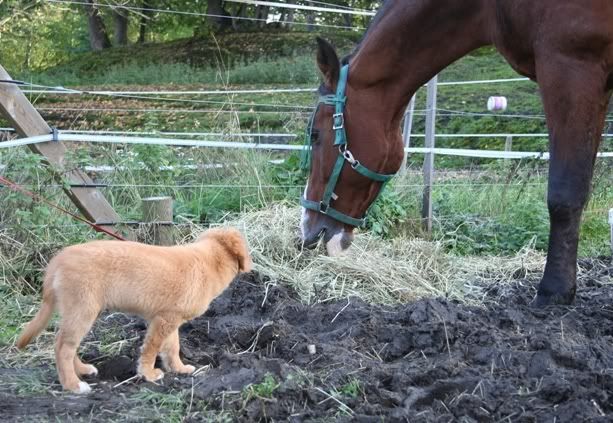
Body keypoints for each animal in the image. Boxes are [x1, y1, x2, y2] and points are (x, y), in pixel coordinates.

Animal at [16, 229, 251, 394]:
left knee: (65, 344)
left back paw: (82, 370)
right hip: (82, 309)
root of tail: (58, 259)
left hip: (80, 312)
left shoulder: (170, 318)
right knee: (63, 347)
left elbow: (172, 347)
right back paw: (73, 385)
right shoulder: (163, 320)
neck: (209, 261)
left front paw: (179, 368)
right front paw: (148, 374)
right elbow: (151, 348)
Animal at [300, 0, 612, 304]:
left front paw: (554, 291)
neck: (495, 6)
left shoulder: (570, 67)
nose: (307, 231)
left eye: (315, 134)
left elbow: (564, 194)